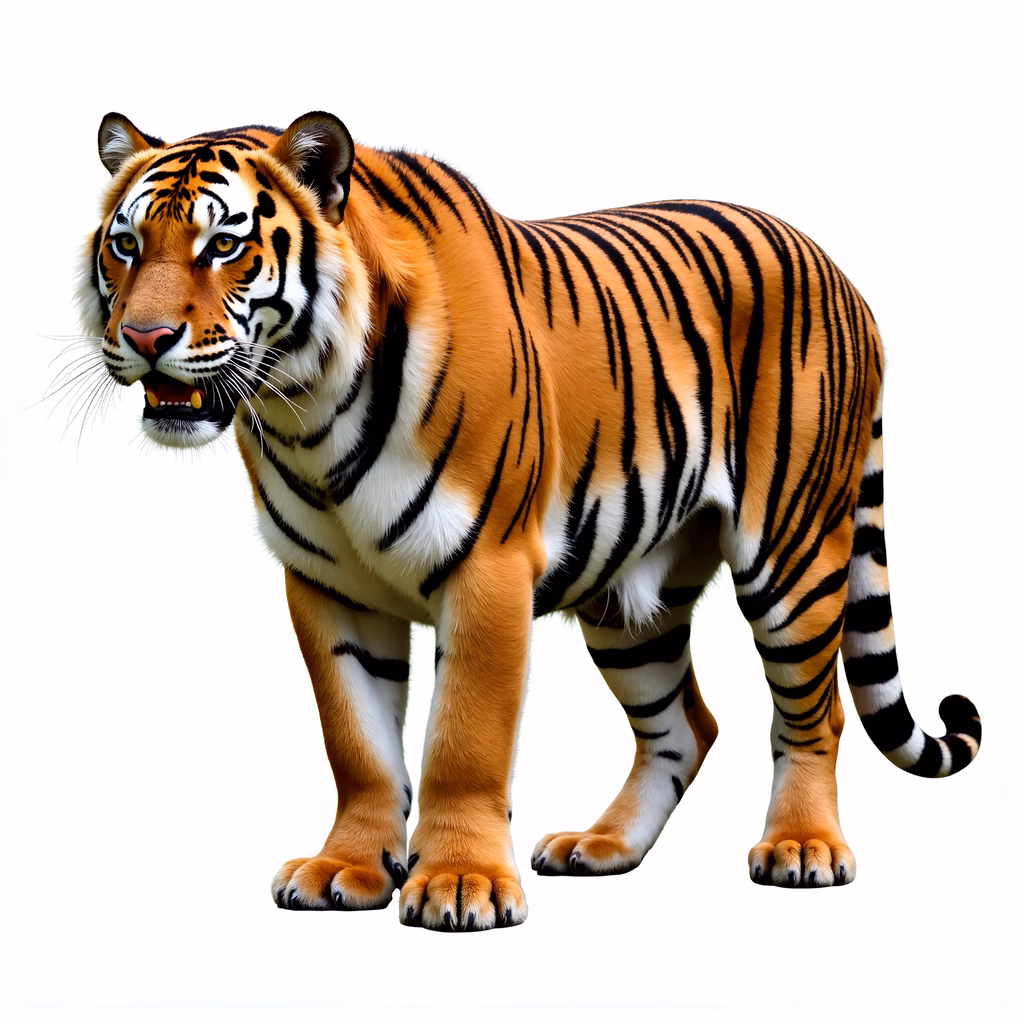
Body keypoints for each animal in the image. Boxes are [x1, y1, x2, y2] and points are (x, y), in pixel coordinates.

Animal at [78, 109, 982, 931]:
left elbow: (464, 740)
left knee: (813, 712)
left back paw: (801, 848)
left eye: (222, 246)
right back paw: (603, 846)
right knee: (685, 726)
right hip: (629, 604)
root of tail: (837, 270)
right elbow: (357, 743)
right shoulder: (329, 588)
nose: (144, 336)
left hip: (792, 556)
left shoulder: (487, 567)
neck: (308, 410)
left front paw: (460, 885)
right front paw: (348, 869)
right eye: (127, 246)